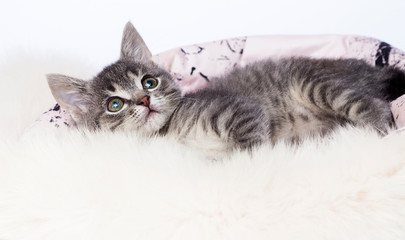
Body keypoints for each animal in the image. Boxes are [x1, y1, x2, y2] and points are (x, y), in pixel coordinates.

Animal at [46, 22, 404, 152]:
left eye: (149, 81)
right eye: (115, 104)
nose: (144, 100)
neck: (168, 135)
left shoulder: (241, 109)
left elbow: (248, 148)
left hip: (315, 83)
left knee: (374, 106)